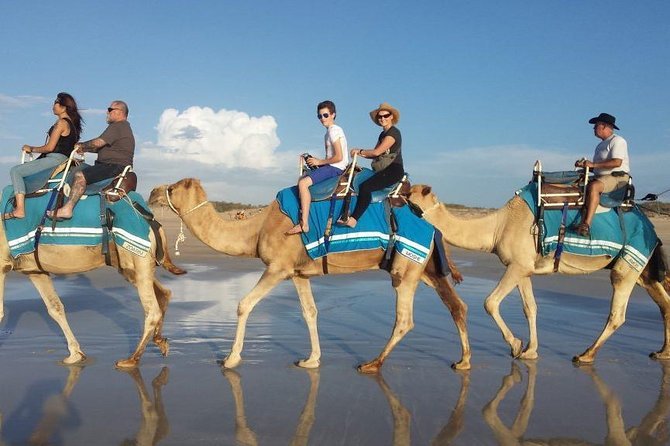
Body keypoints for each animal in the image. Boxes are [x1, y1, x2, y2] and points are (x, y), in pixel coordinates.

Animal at [0, 196, 185, 370]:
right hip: (127, 265)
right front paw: (75, 355)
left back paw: (131, 359)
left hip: (137, 257)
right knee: (164, 293)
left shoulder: (2, 265)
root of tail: (152, 222)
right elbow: (55, 308)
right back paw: (161, 342)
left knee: (152, 310)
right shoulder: (35, 271)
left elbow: (1, 312)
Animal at [148, 179, 472, 372]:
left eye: (173, 187)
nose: (153, 192)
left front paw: (230, 358)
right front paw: (311, 359)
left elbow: (244, 305)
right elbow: (310, 312)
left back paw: (372, 363)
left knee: (405, 319)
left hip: (405, 268)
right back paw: (463, 361)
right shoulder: (297, 273)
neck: (257, 228)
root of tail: (432, 227)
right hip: (428, 268)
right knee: (457, 306)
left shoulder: (277, 267)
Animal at [406, 183, 670, 364]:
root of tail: (651, 227)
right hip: (643, 268)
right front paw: (530, 351)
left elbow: (490, 302)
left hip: (629, 262)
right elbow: (530, 308)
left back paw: (585, 354)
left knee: (618, 312)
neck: (498, 227)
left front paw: (515, 345)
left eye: (409, 197)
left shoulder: (518, 265)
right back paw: (663, 352)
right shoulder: (524, 269)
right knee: (663, 302)